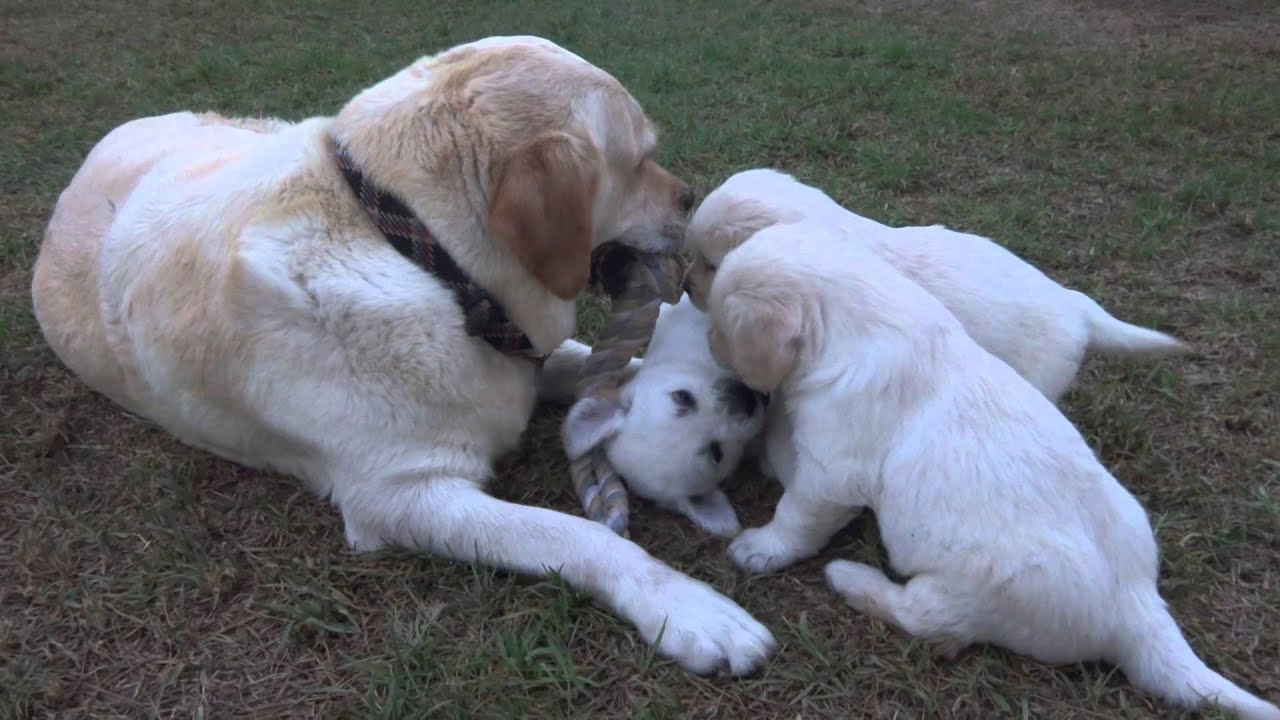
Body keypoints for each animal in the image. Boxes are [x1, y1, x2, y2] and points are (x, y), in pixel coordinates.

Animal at [706, 219, 1280, 717]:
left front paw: (762, 547)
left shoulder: (833, 471)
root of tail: (1138, 605)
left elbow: (797, 513)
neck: (863, 317)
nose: (708, 341)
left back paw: (852, 578)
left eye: (723, 325)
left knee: (927, 622)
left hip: (970, 593)